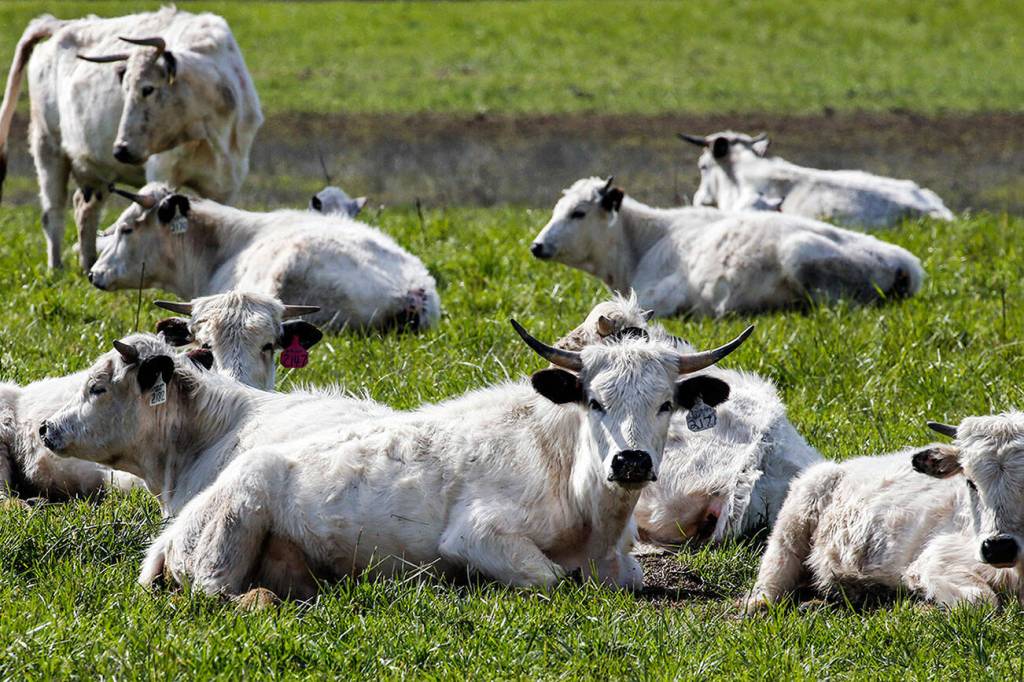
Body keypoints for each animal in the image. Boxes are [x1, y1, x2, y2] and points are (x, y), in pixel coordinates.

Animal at [0, 8, 263, 270]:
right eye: (125, 89)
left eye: (148, 88)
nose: (120, 149)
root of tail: (61, 25)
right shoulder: (161, 171)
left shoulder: (226, 183)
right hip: (47, 146)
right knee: (52, 212)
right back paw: (56, 269)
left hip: (96, 169)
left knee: (84, 207)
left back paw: (88, 264)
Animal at [38, 321, 753, 600]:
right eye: (595, 401)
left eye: (666, 403)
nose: (630, 462)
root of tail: (171, 531)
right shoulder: (479, 536)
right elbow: (552, 579)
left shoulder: (623, 565)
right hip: (229, 530)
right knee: (218, 593)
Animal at [744, 416, 1024, 610]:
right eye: (970, 481)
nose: (998, 547)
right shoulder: (934, 559)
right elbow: (982, 601)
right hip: (797, 513)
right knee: (776, 567)